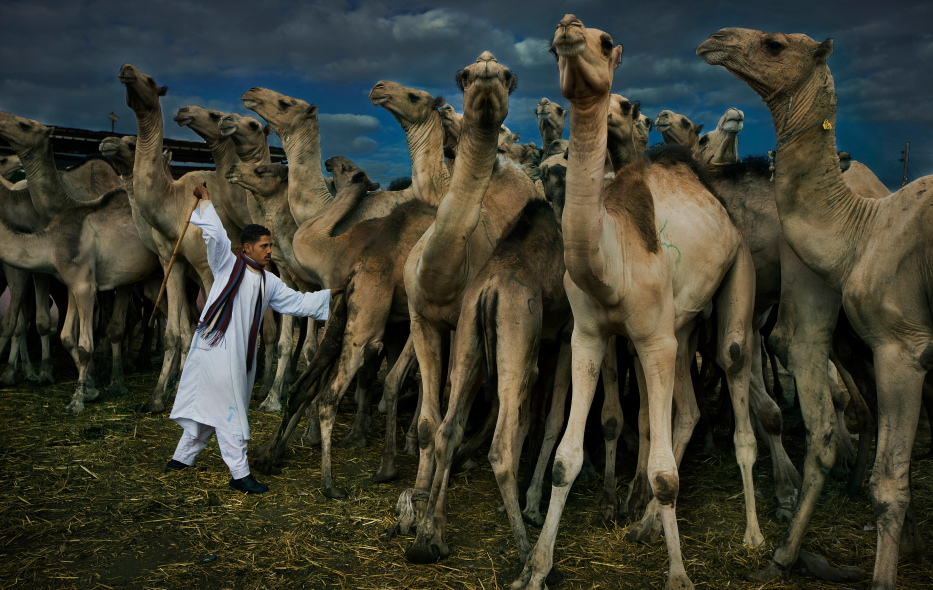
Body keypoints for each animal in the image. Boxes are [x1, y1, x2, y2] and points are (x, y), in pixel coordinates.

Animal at [118, 63, 215, 416]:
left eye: (150, 80)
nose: (126, 69)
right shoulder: (173, 263)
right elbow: (177, 332)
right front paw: (159, 396)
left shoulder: (205, 265)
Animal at [512, 16, 760, 588]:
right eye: (553, 43)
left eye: (605, 42)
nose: (568, 28)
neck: (613, 261)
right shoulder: (588, 336)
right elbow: (566, 458)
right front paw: (536, 567)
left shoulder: (653, 339)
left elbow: (665, 472)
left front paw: (679, 575)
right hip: (684, 326)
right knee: (686, 412)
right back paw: (644, 522)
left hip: (737, 275)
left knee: (732, 367)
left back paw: (754, 536)